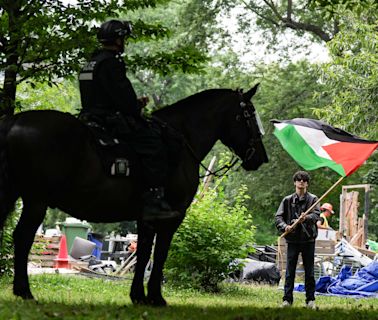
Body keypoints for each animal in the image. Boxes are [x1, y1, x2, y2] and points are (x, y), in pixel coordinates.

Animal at [0, 84, 268, 306]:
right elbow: (158, 255)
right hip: (36, 200)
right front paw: (155, 297)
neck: (180, 142)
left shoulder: (145, 218)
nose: (261, 158)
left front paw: (138, 295)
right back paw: (24, 291)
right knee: (23, 237)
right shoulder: (172, 217)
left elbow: (143, 252)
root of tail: (14, 121)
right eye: (250, 115)